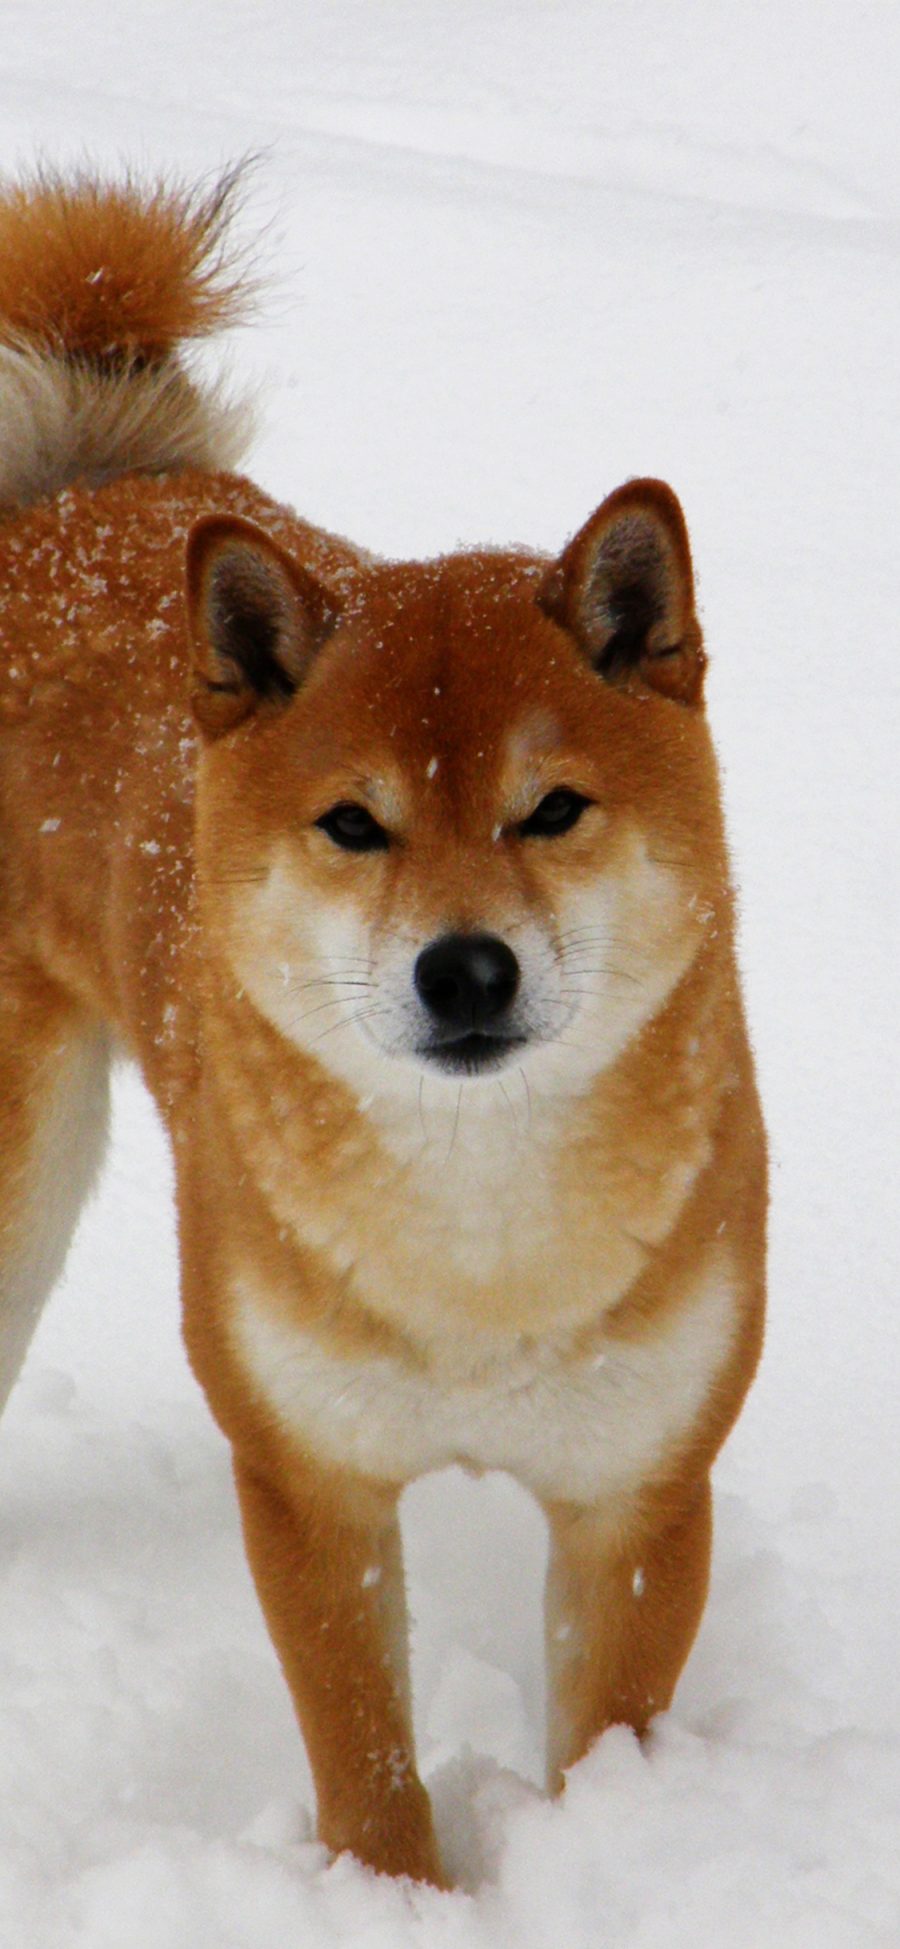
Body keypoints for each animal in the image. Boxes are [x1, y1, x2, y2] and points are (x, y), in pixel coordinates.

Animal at [0, 171, 767, 1886]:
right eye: (355, 824)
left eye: (552, 809)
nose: (464, 970)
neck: (480, 1254)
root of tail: (69, 501)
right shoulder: (313, 1482)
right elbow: (365, 1764)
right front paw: (401, 1895)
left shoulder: (637, 1492)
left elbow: (603, 1740)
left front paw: (591, 1863)